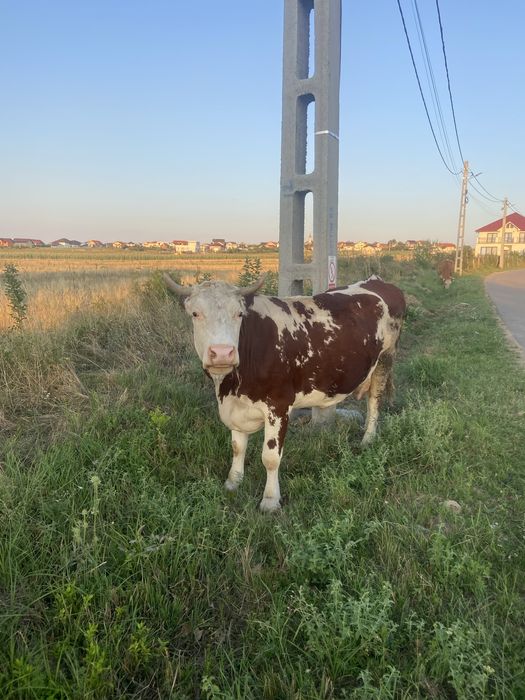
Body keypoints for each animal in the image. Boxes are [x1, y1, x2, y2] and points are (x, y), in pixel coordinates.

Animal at [164, 273, 406, 512]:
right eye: (195, 313)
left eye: (239, 314)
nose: (222, 353)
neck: (232, 386)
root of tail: (377, 281)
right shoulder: (236, 407)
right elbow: (237, 447)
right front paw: (233, 482)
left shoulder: (278, 406)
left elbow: (270, 457)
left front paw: (270, 500)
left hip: (385, 359)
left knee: (374, 402)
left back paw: (368, 439)